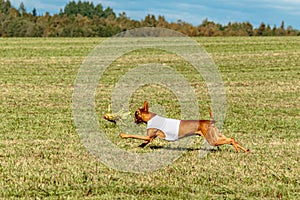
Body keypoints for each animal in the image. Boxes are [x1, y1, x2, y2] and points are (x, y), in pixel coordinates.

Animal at [118, 101, 250, 152]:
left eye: (136, 113)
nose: (134, 120)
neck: (151, 117)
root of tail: (210, 121)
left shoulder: (149, 136)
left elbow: (133, 135)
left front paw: (123, 135)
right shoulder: (150, 138)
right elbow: (144, 142)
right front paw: (140, 146)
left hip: (212, 140)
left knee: (231, 140)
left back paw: (238, 150)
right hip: (217, 136)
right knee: (232, 138)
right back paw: (245, 150)